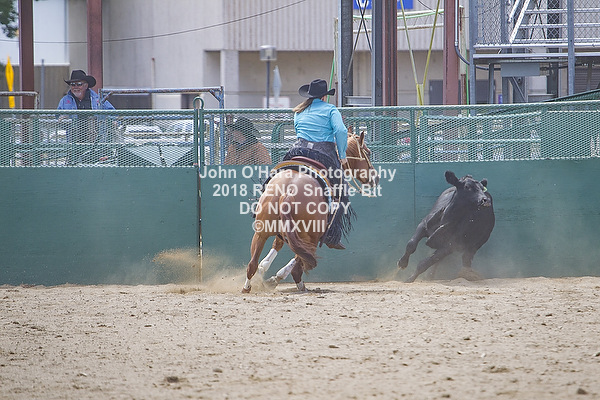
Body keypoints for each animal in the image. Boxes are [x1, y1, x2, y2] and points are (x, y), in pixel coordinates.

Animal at [242, 131, 379, 293]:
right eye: (368, 153)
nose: (375, 178)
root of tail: (288, 192)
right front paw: (274, 277)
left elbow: (277, 244)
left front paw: (265, 270)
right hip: (311, 236)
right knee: (299, 262)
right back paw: (294, 284)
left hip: (262, 232)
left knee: (252, 263)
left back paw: (247, 286)